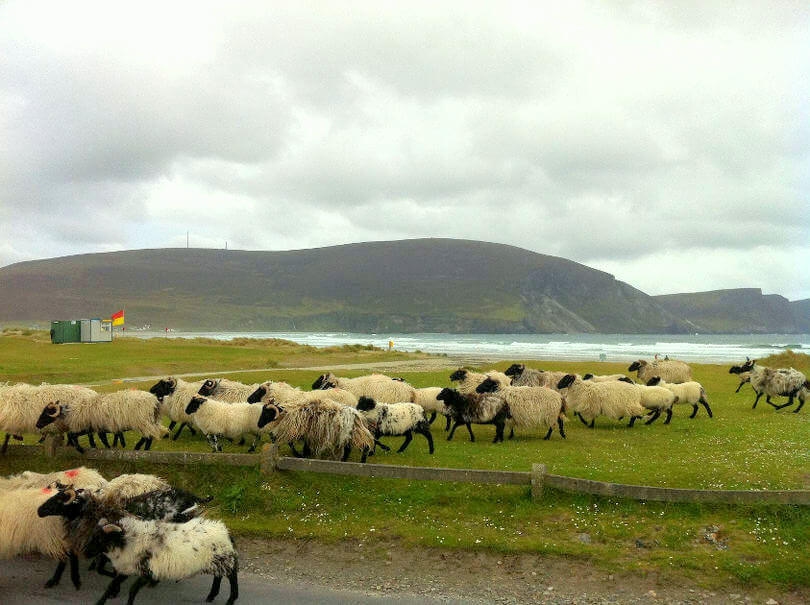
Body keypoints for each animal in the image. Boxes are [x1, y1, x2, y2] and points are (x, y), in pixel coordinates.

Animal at [84, 516, 237, 604]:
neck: (128, 541)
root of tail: (226, 531)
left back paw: (231, 599)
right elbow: (111, 586)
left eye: (100, 538)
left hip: (225, 559)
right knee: (218, 577)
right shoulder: (128, 567)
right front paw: (99, 603)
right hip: (216, 561)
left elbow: (133, 590)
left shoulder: (147, 571)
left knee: (232, 578)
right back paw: (211, 596)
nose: (85, 553)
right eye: (93, 535)